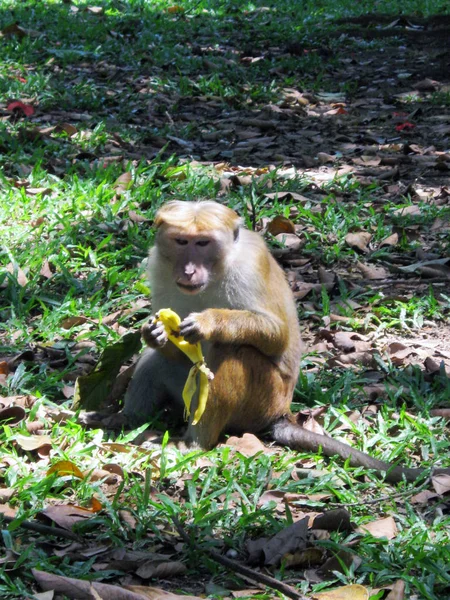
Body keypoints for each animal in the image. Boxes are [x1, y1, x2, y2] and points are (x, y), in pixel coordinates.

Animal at [125, 200, 450, 482]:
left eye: (203, 243)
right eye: (181, 242)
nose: (189, 270)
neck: (218, 270)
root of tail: (280, 413)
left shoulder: (248, 267)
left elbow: (276, 336)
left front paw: (209, 323)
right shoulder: (158, 266)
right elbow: (171, 350)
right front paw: (154, 334)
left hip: (263, 400)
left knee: (235, 351)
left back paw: (195, 444)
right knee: (156, 362)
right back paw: (123, 421)